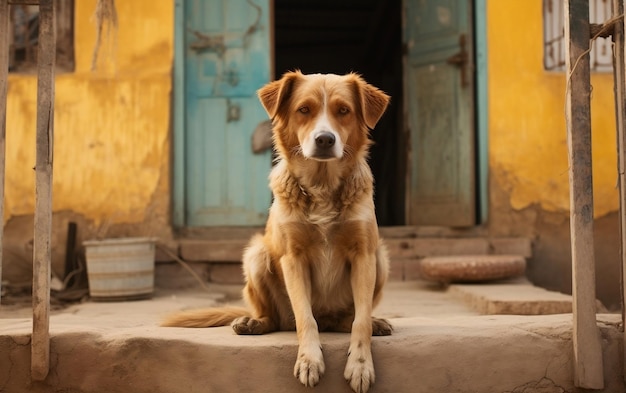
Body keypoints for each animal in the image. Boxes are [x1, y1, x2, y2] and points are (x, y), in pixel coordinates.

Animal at [163, 71, 392, 392]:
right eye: (304, 109)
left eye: (343, 111)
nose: (324, 139)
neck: (322, 186)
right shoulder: (292, 258)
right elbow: (305, 318)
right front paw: (310, 360)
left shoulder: (364, 254)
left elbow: (361, 323)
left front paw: (360, 365)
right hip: (257, 256)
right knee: (279, 319)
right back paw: (253, 323)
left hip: (380, 259)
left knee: (350, 319)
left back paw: (375, 322)